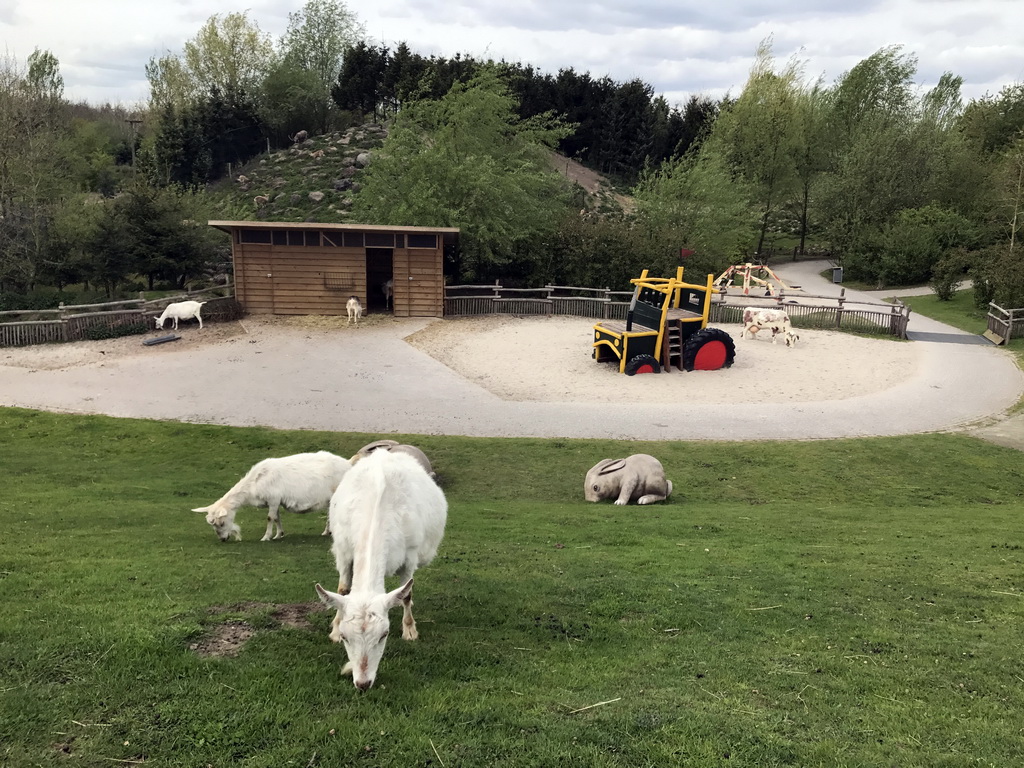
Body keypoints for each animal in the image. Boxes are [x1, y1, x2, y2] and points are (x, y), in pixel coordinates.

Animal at [192, 454, 352, 544]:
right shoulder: (275, 502)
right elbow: (276, 518)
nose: (223, 539)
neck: (254, 483)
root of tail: (349, 463)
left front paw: (266, 537)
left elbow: (269, 518)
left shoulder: (274, 498)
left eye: (221, 522)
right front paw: (278, 535)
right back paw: (327, 531)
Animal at [313, 448, 446, 696]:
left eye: (384, 635)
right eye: (345, 637)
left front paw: (410, 631)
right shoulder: (344, 549)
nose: (363, 683)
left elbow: (407, 593)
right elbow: (342, 590)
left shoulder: (410, 556)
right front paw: (334, 627)